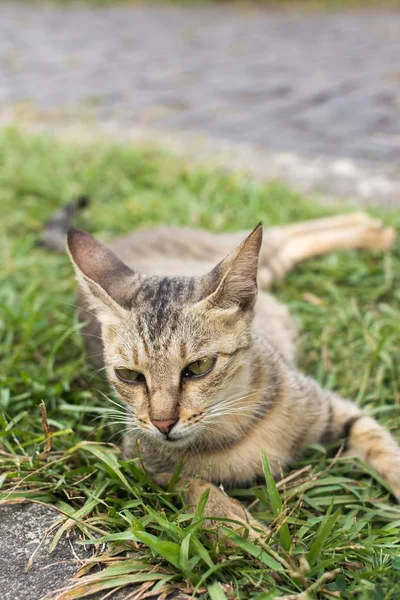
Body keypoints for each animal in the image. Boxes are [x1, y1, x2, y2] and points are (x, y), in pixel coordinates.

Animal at [46, 206, 396, 540]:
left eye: (199, 367)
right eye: (129, 375)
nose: (162, 423)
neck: (234, 430)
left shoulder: (331, 408)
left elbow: (384, 448)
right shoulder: (140, 462)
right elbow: (191, 486)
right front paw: (238, 525)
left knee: (286, 232)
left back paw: (373, 229)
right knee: (294, 241)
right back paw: (372, 227)